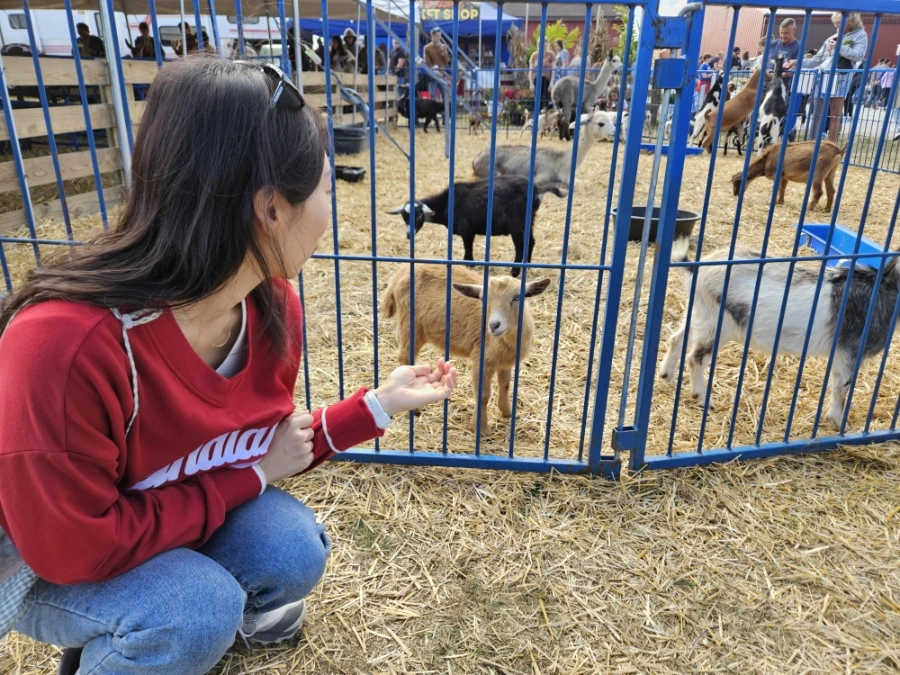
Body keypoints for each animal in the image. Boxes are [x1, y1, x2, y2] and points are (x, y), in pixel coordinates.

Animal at [382, 264, 550, 435]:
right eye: (483, 299)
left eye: (517, 297)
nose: (494, 325)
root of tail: (399, 273)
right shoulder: (481, 359)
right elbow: (483, 395)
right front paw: (481, 429)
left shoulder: (505, 362)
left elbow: (505, 385)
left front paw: (507, 413)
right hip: (410, 325)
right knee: (404, 357)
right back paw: (414, 405)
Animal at [385, 176, 565, 277]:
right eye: (404, 217)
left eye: (419, 216)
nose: (409, 235)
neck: (446, 204)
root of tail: (538, 190)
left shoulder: (466, 231)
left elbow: (468, 250)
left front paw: (469, 266)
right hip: (528, 222)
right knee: (531, 242)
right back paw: (527, 265)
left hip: (517, 225)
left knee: (520, 246)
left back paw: (515, 272)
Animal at [472, 111, 616, 189]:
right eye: (601, 123)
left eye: (612, 120)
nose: (616, 131)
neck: (562, 164)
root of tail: (475, 158)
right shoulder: (540, 178)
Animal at [658, 236, 900, 429]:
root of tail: (697, 268)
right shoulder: (849, 350)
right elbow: (843, 386)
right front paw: (840, 424)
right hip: (716, 325)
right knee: (695, 358)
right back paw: (704, 399)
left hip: (698, 313)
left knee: (676, 339)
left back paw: (666, 375)